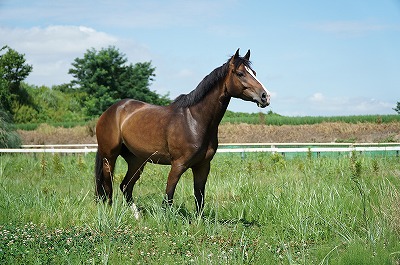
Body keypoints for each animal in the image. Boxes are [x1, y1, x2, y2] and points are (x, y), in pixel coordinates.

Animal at [95, 49, 270, 212]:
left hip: (136, 160)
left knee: (125, 186)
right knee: (108, 187)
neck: (195, 121)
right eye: (240, 74)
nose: (265, 96)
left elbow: (199, 198)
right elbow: (168, 197)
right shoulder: (178, 165)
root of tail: (111, 110)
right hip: (109, 157)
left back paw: (137, 216)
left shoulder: (203, 166)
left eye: (254, 73)